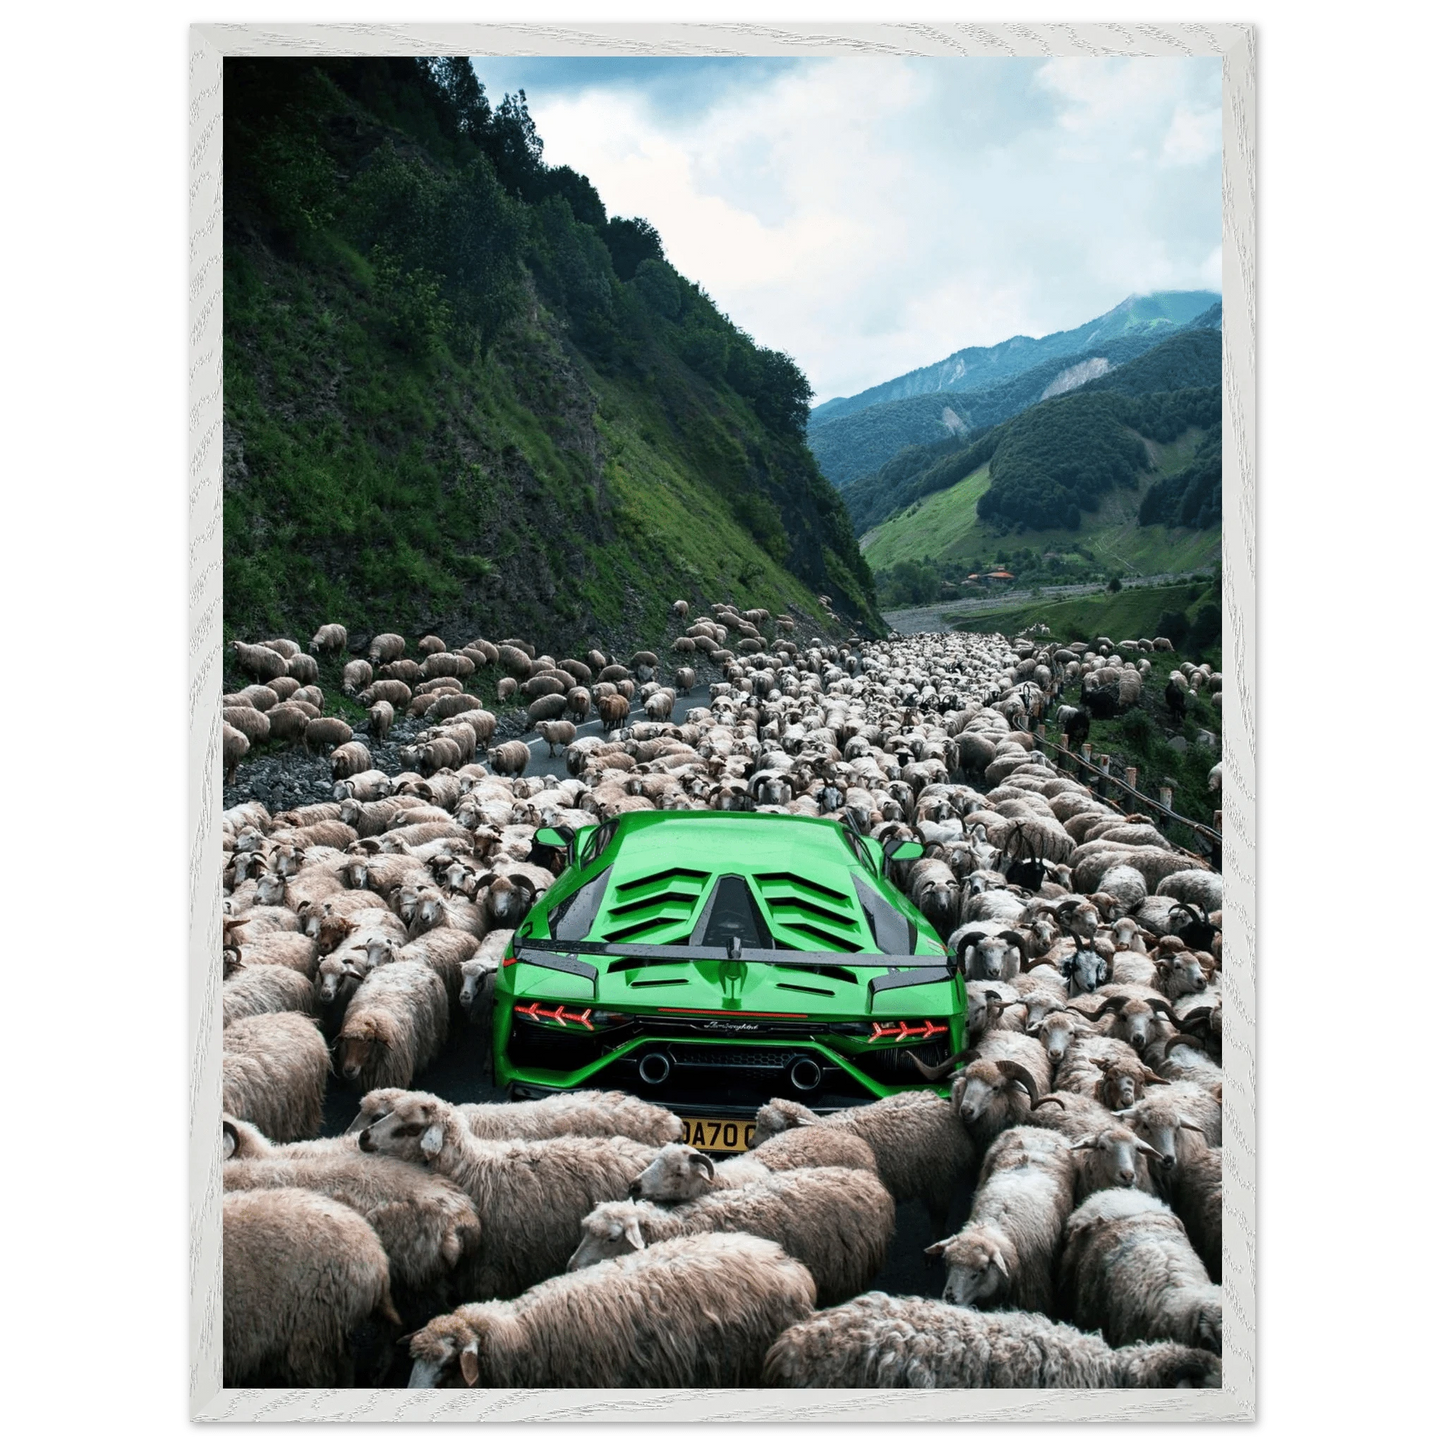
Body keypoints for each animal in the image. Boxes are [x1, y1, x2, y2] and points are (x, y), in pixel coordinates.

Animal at [751, 1092, 975, 1234]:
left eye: (775, 1128)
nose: (750, 1145)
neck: (826, 1126)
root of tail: (943, 1104)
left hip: (940, 1177)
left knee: (939, 1215)